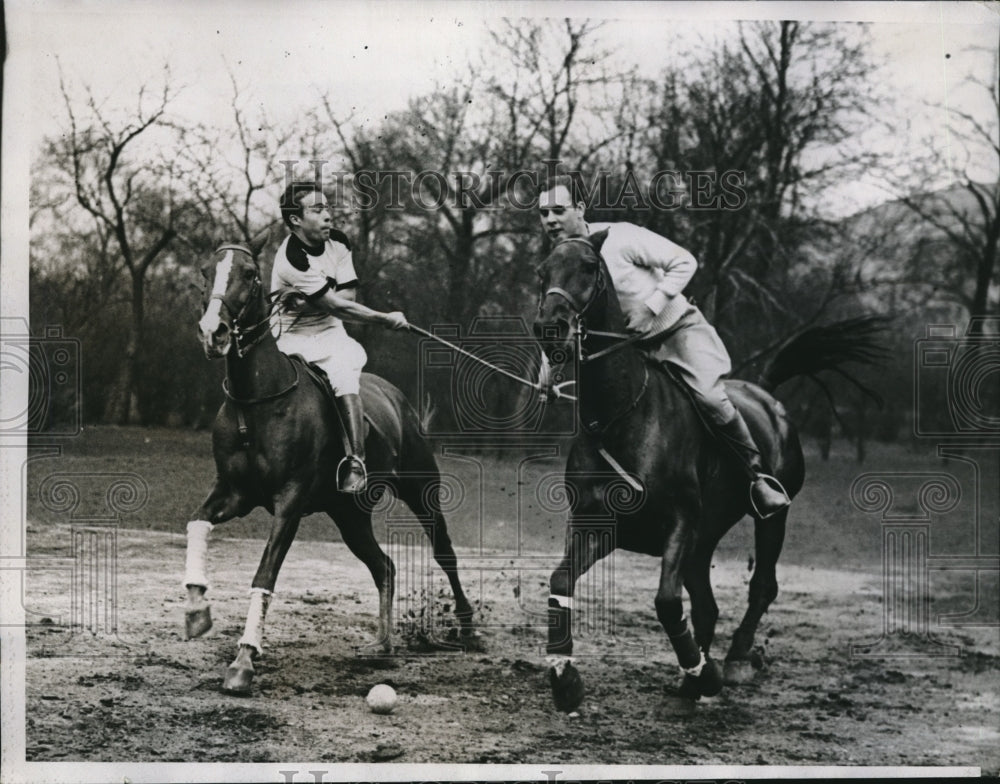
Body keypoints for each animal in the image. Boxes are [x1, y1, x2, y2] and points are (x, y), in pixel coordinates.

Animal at [187, 239, 476, 692]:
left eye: (250, 273)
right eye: (205, 271)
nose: (212, 332)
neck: (257, 399)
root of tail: (397, 396)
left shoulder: (289, 502)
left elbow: (264, 576)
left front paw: (244, 660)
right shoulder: (232, 494)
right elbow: (196, 524)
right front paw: (198, 611)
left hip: (420, 487)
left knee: (443, 550)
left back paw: (466, 628)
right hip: (349, 515)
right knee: (384, 565)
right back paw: (383, 643)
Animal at [536, 231, 888, 712]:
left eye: (590, 266)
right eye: (542, 271)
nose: (549, 327)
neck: (619, 416)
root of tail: (766, 394)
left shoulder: (679, 523)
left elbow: (667, 603)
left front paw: (706, 673)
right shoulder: (597, 525)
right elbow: (561, 581)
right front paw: (564, 677)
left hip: (769, 519)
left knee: (762, 586)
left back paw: (734, 660)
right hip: (703, 542)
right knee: (707, 605)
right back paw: (694, 678)